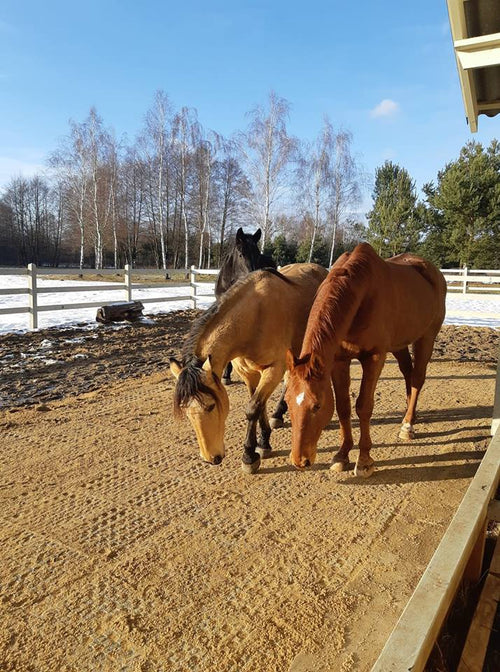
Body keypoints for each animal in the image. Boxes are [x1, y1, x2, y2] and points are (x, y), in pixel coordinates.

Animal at [170, 263, 328, 474]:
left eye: (211, 406)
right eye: (186, 411)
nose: (211, 458)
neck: (254, 319)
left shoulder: (273, 369)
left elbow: (253, 408)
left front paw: (249, 455)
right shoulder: (249, 374)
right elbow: (258, 405)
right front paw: (263, 442)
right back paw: (278, 414)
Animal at [285, 242, 447, 477]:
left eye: (317, 406)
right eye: (287, 402)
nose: (300, 460)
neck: (360, 294)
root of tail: (434, 272)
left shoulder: (374, 358)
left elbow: (363, 407)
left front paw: (363, 461)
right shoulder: (338, 361)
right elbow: (343, 406)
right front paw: (342, 455)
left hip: (426, 338)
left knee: (417, 378)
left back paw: (408, 425)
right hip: (399, 345)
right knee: (408, 373)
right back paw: (410, 414)